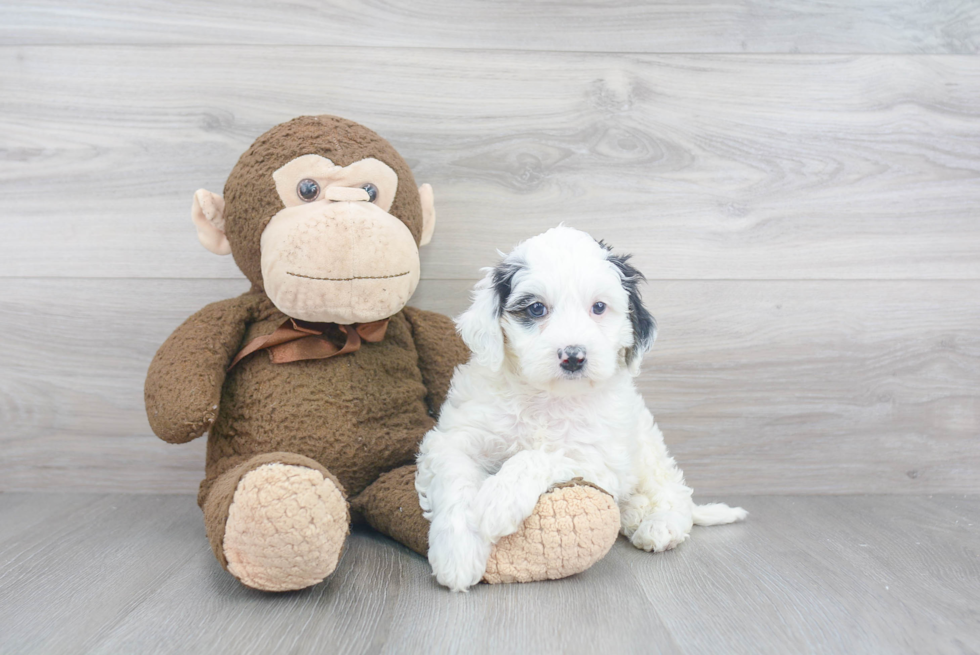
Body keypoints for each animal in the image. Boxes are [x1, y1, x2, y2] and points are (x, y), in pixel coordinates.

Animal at [418, 228, 748, 592]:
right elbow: (455, 477)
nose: (573, 356)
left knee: (674, 493)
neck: (547, 398)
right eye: (536, 308)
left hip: (648, 447)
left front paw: (498, 500)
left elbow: (542, 455)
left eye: (599, 307)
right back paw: (634, 513)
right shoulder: (455, 437)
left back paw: (658, 524)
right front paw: (457, 553)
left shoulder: (600, 460)